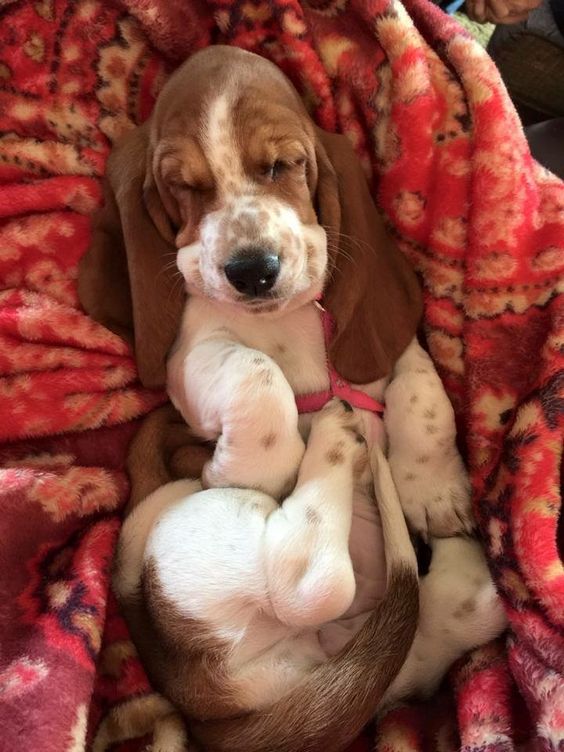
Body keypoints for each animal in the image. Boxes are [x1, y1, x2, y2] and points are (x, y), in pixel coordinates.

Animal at [80, 45, 506, 752]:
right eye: (184, 186)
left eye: (282, 166)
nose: (252, 270)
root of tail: (217, 716)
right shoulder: (191, 358)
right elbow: (256, 375)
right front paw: (249, 465)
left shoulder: (385, 348)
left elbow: (422, 395)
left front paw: (435, 489)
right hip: (189, 548)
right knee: (307, 575)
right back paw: (335, 441)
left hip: (432, 626)